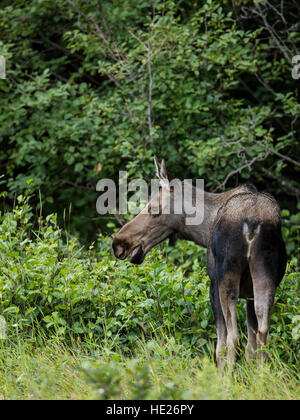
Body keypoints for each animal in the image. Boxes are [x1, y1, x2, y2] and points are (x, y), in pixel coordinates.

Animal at [112, 158, 286, 370]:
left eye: (153, 207)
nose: (119, 243)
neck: (204, 229)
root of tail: (252, 223)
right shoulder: (249, 295)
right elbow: (251, 347)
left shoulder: (213, 285)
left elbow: (220, 348)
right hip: (264, 278)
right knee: (262, 334)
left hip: (226, 278)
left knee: (233, 338)